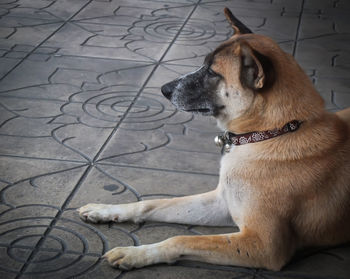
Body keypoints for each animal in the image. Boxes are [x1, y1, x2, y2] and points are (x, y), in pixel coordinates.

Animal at [77, 8, 350, 272]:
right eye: (203, 65)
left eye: (212, 72)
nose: (164, 90)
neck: (273, 132)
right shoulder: (220, 203)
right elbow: (152, 204)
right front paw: (105, 210)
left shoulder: (264, 244)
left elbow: (181, 239)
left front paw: (135, 253)